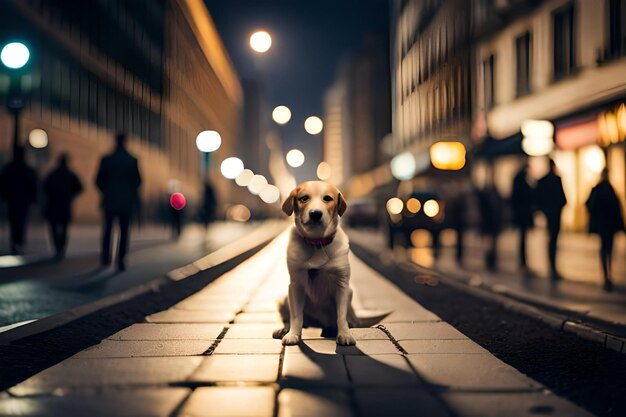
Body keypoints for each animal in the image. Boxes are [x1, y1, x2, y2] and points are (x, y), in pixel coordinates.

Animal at [272, 179, 356, 344]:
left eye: (327, 198)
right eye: (304, 198)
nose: (315, 213)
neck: (317, 242)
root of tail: (317, 323)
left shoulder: (343, 285)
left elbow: (341, 316)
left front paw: (345, 334)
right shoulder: (295, 285)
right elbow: (296, 316)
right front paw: (293, 334)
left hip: (350, 295)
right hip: (283, 298)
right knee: (293, 318)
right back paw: (284, 329)